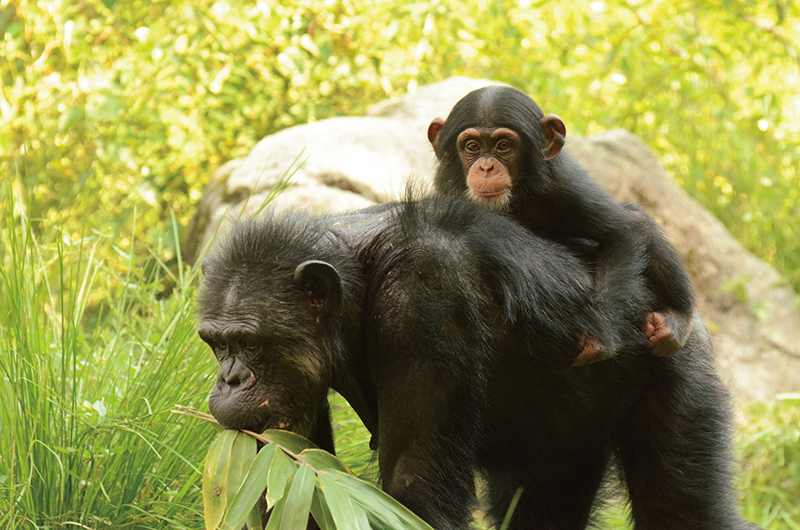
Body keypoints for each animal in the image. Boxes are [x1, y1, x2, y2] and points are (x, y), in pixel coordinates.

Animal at [198, 196, 756, 528]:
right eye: (216, 344)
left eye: (249, 344)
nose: (230, 379)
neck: (358, 282)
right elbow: (297, 480)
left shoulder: (426, 299)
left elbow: (413, 485)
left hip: (677, 367)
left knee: (681, 506)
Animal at [428, 86, 696, 364]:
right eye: (472, 146)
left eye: (503, 146)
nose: (486, 166)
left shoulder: (565, 187)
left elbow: (622, 230)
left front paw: (600, 335)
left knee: (639, 220)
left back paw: (677, 316)